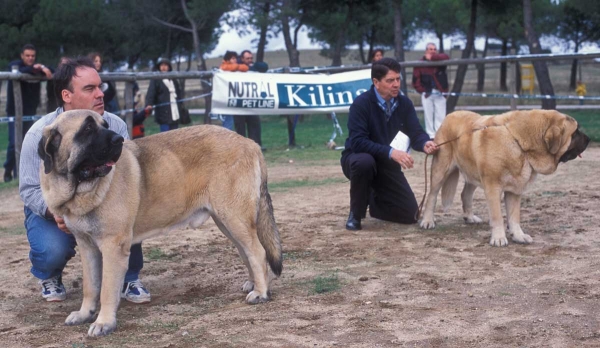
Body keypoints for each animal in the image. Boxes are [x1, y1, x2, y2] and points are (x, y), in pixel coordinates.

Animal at [37, 110, 284, 336]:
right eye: (87, 129)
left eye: (104, 125)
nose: (118, 140)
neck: (79, 189)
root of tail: (250, 143)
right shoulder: (87, 246)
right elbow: (90, 286)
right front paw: (84, 314)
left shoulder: (112, 246)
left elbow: (106, 289)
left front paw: (104, 322)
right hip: (227, 221)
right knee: (246, 251)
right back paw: (255, 283)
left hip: (234, 218)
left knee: (257, 251)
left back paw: (261, 292)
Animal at [422, 110, 592, 246]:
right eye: (575, 132)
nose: (589, 139)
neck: (519, 142)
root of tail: (449, 115)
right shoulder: (493, 188)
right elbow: (497, 216)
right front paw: (498, 238)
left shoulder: (515, 190)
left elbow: (514, 216)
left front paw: (518, 236)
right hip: (440, 170)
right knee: (432, 196)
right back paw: (427, 221)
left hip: (472, 172)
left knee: (465, 194)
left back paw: (469, 217)